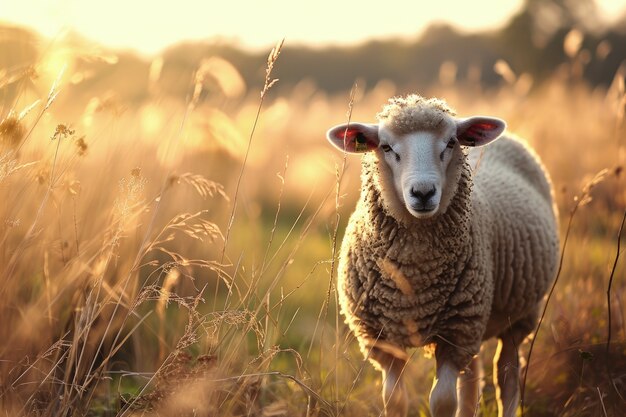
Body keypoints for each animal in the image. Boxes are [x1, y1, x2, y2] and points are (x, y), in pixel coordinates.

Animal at [324, 94, 560, 416]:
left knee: (507, 377)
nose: (423, 192)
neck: (415, 275)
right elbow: (394, 400)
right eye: (386, 147)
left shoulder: (454, 335)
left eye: (450, 142)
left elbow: (444, 401)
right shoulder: (385, 340)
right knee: (472, 379)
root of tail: (511, 137)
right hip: (475, 316)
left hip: (518, 316)